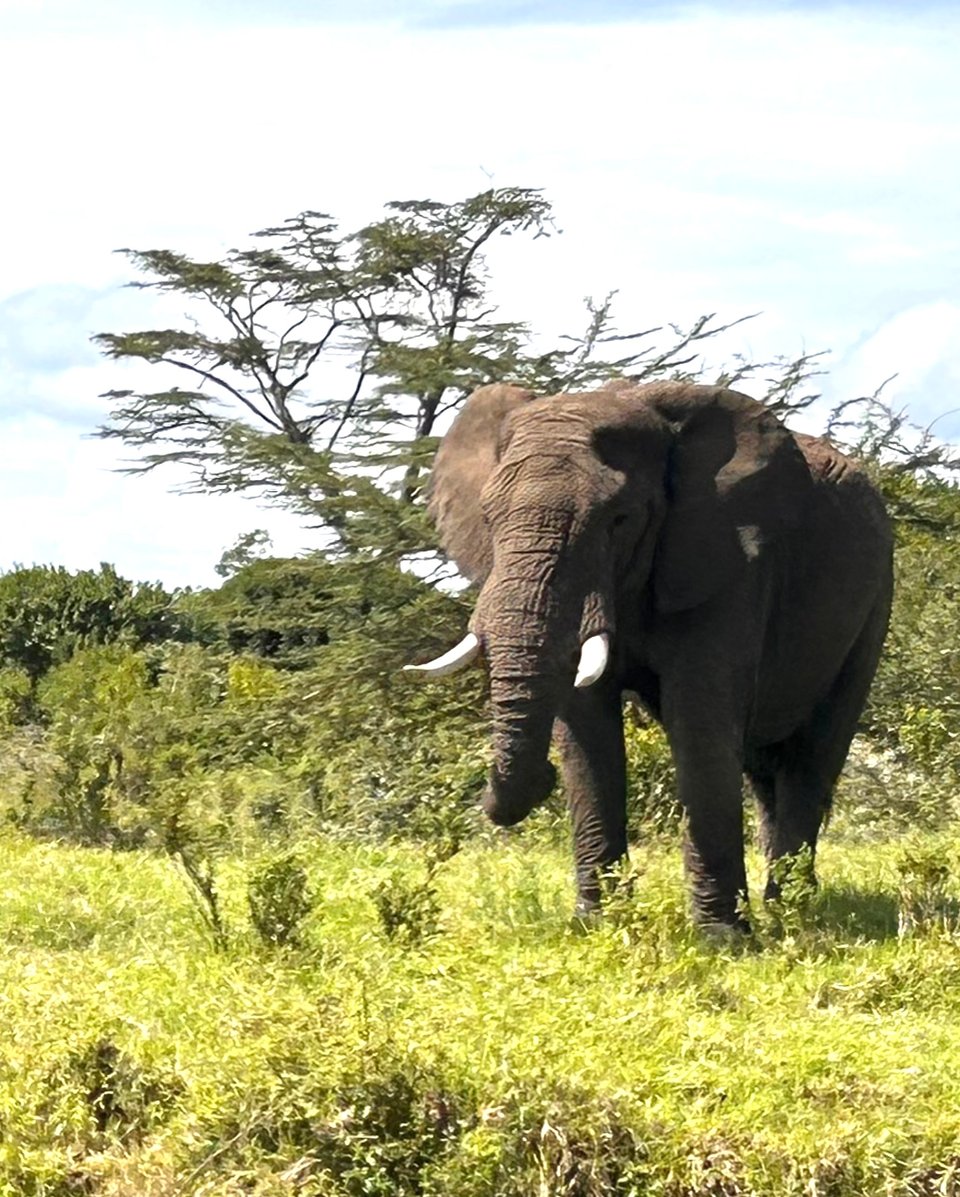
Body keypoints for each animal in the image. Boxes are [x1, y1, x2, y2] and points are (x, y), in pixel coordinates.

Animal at [406, 379, 893, 930]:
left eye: (618, 520)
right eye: (489, 519)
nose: (533, 781)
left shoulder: (729, 559)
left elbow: (699, 719)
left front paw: (721, 939)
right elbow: (587, 731)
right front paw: (596, 926)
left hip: (874, 599)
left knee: (813, 754)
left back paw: (794, 915)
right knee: (763, 765)